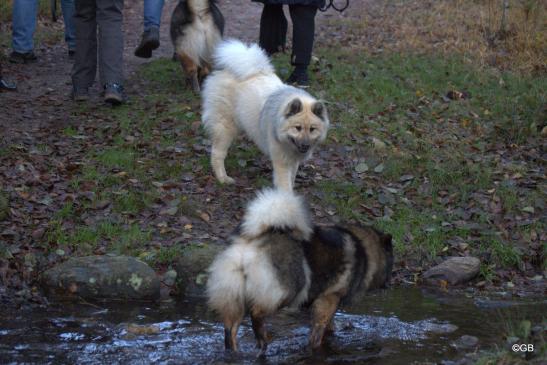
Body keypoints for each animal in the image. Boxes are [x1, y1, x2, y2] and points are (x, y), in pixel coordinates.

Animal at [207, 189, 394, 354]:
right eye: (391, 265)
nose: (388, 284)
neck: (366, 250)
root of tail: (252, 241)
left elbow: (329, 325)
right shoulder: (329, 298)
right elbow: (319, 330)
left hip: (234, 297)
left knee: (230, 329)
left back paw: (235, 350)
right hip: (287, 291)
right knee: (257, 313)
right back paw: (262, 340)